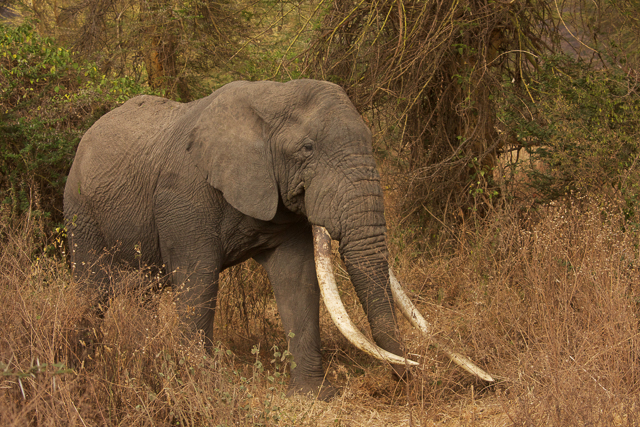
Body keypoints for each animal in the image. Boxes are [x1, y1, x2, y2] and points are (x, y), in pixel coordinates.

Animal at [65, 78, 492, 400]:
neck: (270, 98)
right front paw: (207, 391)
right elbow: (197, 284)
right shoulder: (183, 196)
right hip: (81, 212)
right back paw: (81, 373)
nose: (407, 377)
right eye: (307, 149)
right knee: (90, 292)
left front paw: (314, 397)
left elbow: (297, 279)